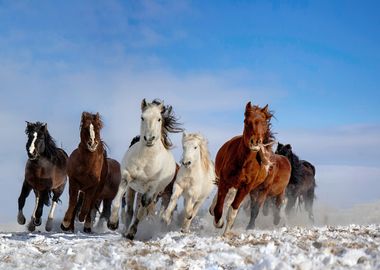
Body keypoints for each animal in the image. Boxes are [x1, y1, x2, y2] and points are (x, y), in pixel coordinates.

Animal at [107, 98, 183, 239]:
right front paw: (113, 223)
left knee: (141, 208)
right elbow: (117, 200)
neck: (146, 160)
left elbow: (142, 210)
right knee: (130, 210)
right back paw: (125, 230)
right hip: (133, 189)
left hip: (154, 192)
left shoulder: (151, 188)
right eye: (142, 117)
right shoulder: (127, 177)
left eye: (159, 119)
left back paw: (130, 231)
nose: (149, 139)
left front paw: (132, 232)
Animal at [209, 102, 274, 236]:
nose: (255, 142)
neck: (244, 163)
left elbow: (233, 209)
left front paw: (226, 232)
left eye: (264, 122)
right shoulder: (224, 182)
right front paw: (219, 223)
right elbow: (219, 207)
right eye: (247, 121)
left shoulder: (245, 188)